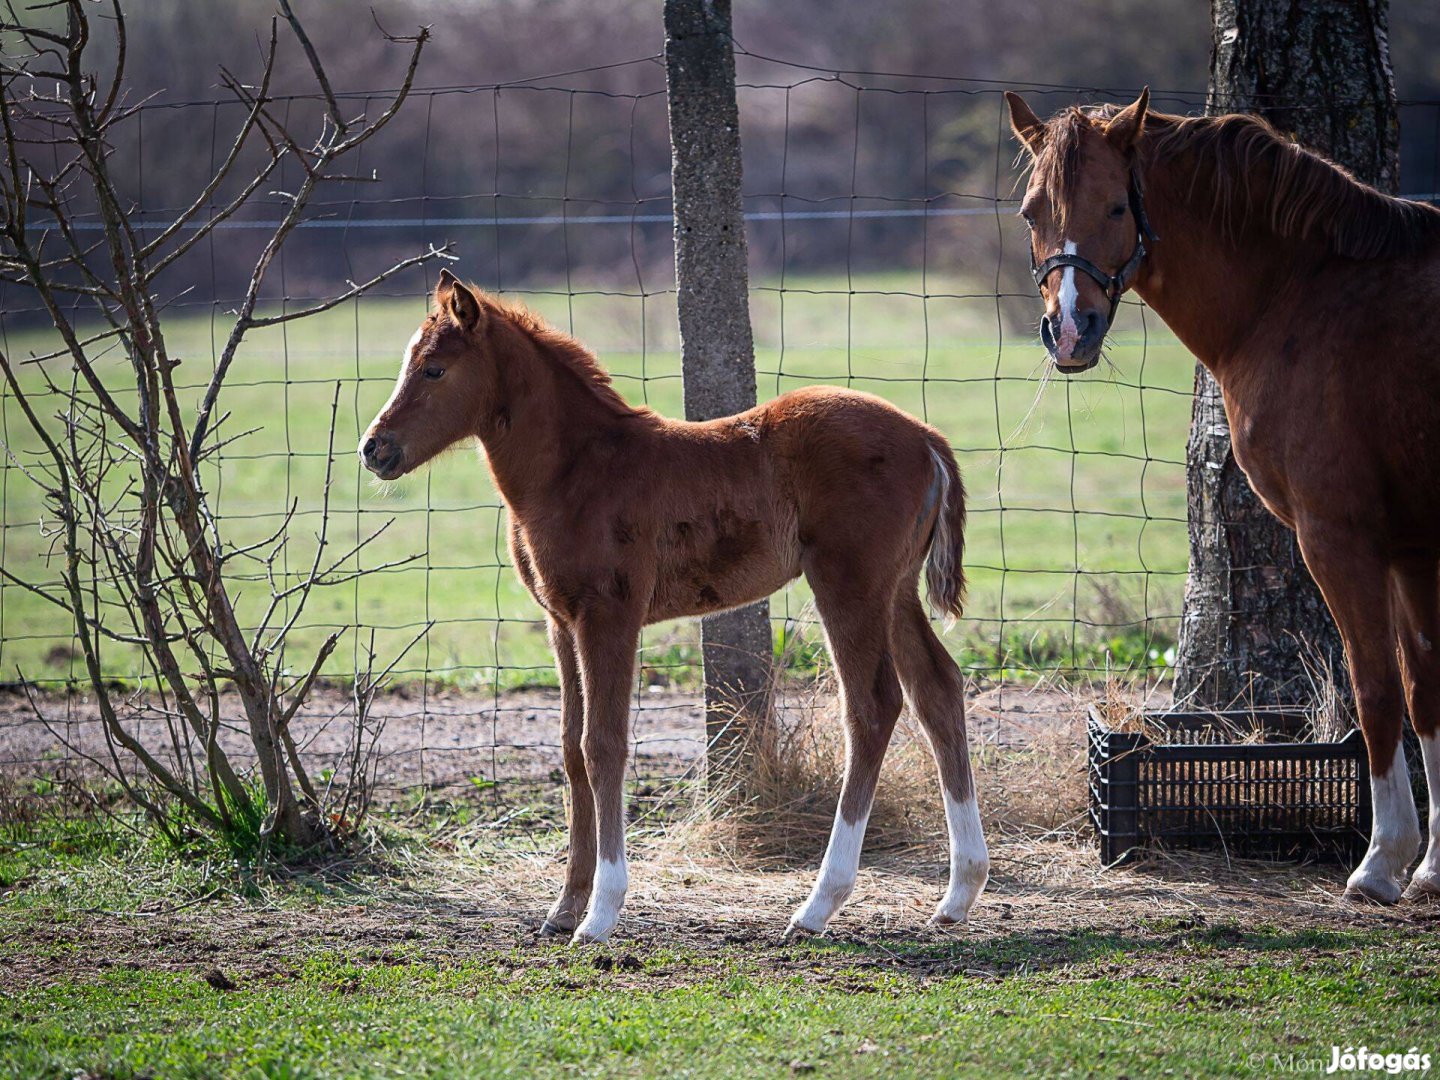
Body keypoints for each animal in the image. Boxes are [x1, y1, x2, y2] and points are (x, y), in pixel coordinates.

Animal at [360, 272, 990, 944]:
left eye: (433, 369)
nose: (374, 448)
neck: (575, 470)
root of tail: (927, 439)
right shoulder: (561, 623)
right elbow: (569, 748)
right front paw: (564, 907)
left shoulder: (609, 614)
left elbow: (603, 744)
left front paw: (602, 911)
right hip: (894, 590)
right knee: (937, 690)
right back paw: (959, 892)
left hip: (849, 585)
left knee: (872, 708)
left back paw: (818, 904)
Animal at [1008, 88, 1440, 904]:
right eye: (1030, 211)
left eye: (1116, 206)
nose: (1071, 332)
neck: (1304, 291)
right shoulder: (1411, 549)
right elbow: (1424, 685)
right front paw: (1430, 866)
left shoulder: (1339, 536)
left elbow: (1375, 689)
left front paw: (1382, 861)